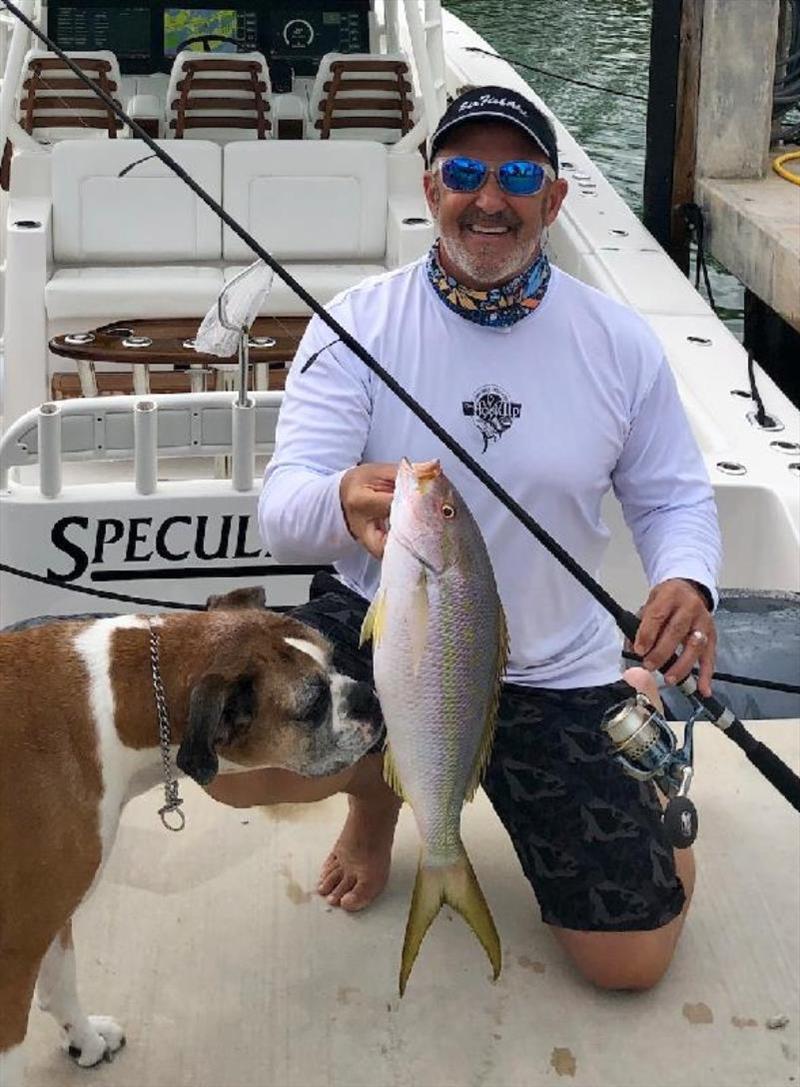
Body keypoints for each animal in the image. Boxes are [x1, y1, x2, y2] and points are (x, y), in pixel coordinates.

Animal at [0, 595, 380, 1087]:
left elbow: (61, 984)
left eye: (334, 660)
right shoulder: (15, 952)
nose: (370, 697)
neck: (117, 704)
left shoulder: (48, 916)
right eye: (313, 706)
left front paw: (87, 1040)